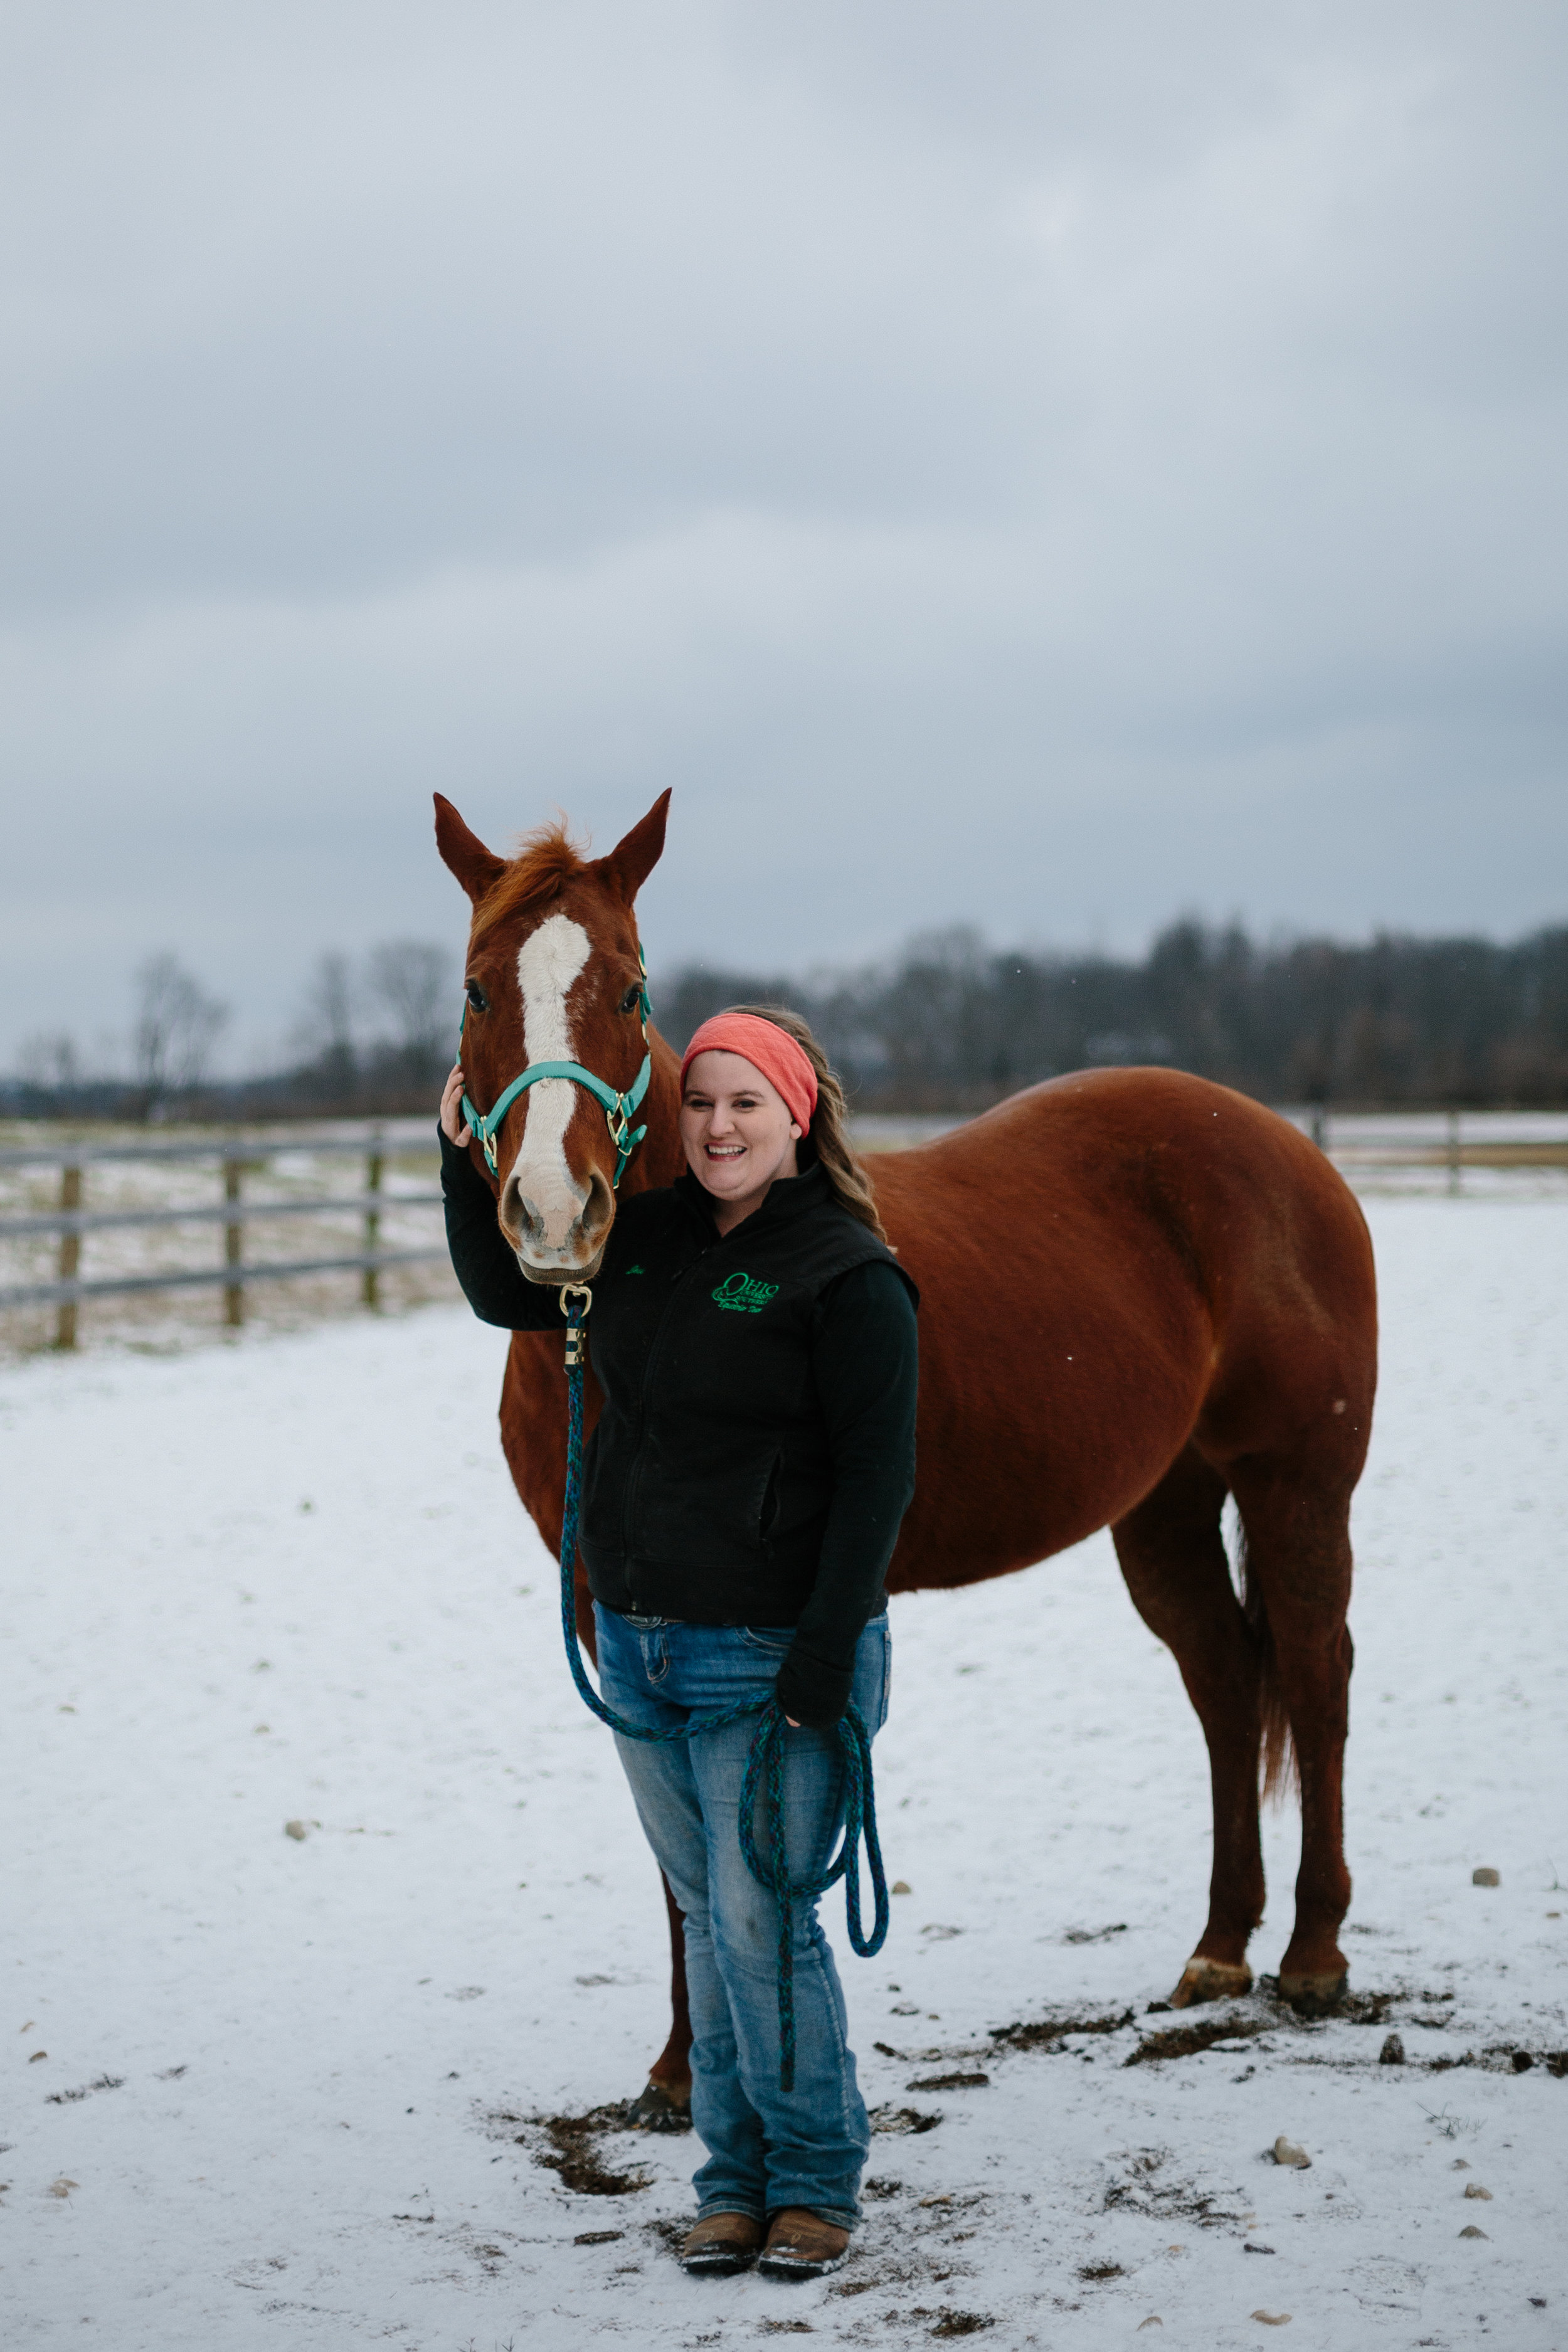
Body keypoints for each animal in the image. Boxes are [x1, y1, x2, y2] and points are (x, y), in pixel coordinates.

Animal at [432, 785, 1372, 2117]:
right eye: (476, 991)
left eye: (629, 989)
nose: (557, 1215)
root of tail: (1284, 1147)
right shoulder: (608, 1607)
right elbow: (677, 1852)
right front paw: (679, 2073)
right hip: (1166, 1508)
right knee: (1230, 1683)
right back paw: (1219, 1948)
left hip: (1298, 1487)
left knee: (1317, 1673)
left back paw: (1313, 1955)